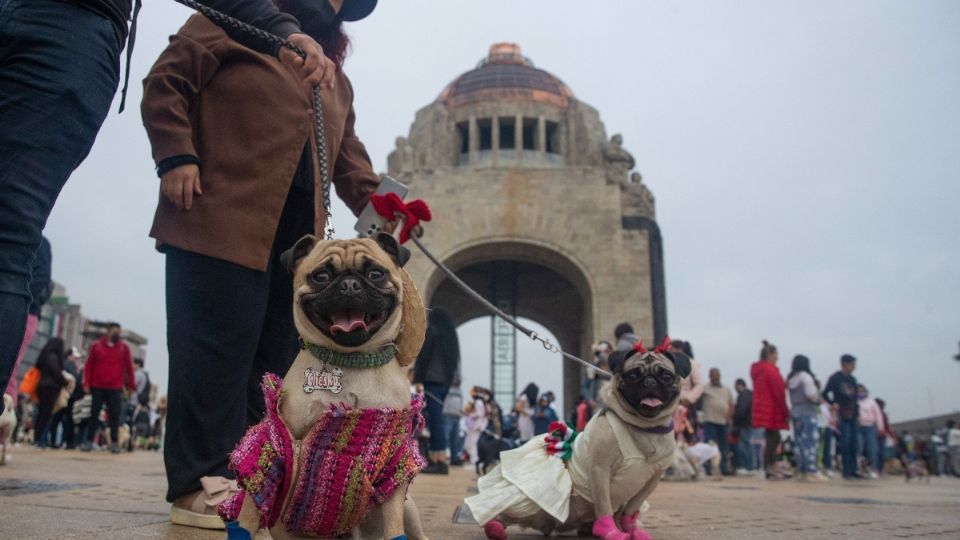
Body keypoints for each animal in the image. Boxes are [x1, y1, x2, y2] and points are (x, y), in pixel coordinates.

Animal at [221, 235, 432, 540]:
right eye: (320, 276)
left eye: (376, 274)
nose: (350, 284)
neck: (351, 359)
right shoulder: (271, 451)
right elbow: (249, 512)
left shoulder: (393, 463)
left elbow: (393, 523)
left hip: (409, 509)